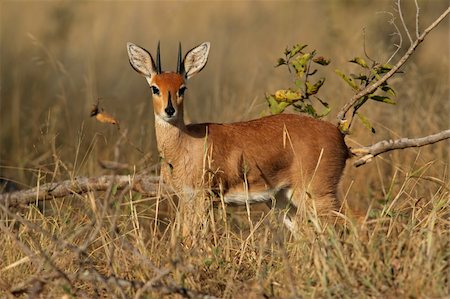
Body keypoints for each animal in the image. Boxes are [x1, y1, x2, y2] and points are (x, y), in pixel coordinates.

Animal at [126, 41, 348, 232]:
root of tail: (339, 136)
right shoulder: (186, 198)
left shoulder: (203, 198)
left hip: (318, 194)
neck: (184, 145)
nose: (169, 110)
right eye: (155, 87)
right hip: (285, 201)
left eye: (182, 88)